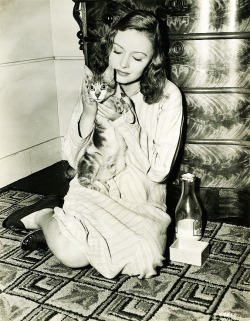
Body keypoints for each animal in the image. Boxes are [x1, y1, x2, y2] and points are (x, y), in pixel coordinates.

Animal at [66, 63, 132, 191]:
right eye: (91, 87)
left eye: (103, 86)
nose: (97, 94)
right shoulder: (99, 104)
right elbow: (109, 99)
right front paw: (117, 104)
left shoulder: (123, 96)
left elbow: (127, 102)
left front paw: (130, 115)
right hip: (92, 161)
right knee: (83, 178)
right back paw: (94, 187)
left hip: (120, 164)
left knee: (99, 178)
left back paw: (105, 186)